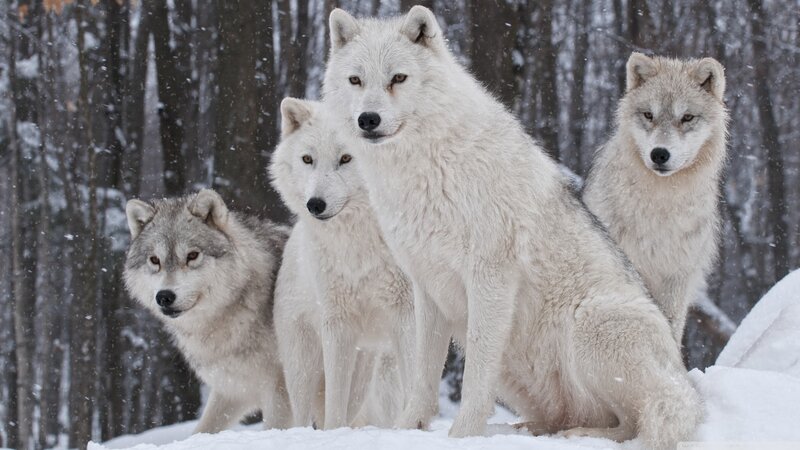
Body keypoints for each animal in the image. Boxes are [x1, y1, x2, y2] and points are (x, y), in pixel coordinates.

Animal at [123, 189, 291, 433]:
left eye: (192, 256)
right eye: (155, 260)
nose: (164, 296)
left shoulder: (281, 389)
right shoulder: (232, 389)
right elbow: (202, 430)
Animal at [269, 98, 414, 429]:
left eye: (347, 158)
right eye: (307, 159)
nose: (315, 205)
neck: (360, 244)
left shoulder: (408, 314)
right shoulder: (337, 324)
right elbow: (335, 404)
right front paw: (334, 433)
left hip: (369, 369)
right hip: (303, 365)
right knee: (304, 415)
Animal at [322, 6, 701, 449]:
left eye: (398, 78)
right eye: (356, 80)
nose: (368, 119)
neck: (427, 168)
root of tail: (682, 379)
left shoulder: (490, 277)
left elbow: (474, 375)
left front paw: (462, 436)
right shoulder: (426, 286)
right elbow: (422, 375)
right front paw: (406, 429)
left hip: (591, 322)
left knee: (633, 423)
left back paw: (578, 434)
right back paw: (528, 429)